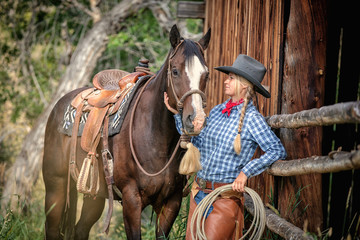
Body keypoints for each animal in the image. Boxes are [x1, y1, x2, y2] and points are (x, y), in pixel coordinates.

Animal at [42, 25, 211, 239]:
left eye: (206, 74)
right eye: (175, 71)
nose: (196, 120)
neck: (156, 139)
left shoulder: (171, 202)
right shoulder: (131, 200)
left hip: (94, 195)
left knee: (80, 229)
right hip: (55, 187)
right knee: (52, 228)